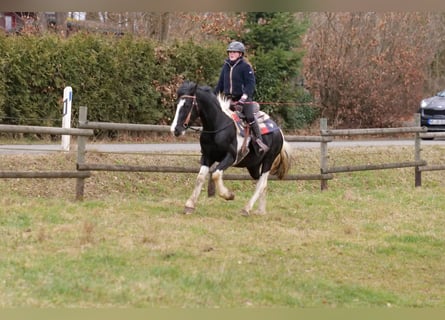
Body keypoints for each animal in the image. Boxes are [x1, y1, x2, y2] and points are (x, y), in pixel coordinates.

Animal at [168, 80, 290, 216]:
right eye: (177, 104)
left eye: (187, 105)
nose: (175, 130)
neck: (218, 126)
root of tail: (279, 131)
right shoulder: (207, 157)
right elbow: (200, 178)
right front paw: (189, 205)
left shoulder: (230, 157)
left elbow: (216, 175)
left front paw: (228, 195)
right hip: (253, 166)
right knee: (262, 183)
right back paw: (261, 210)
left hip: (268, 161)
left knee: (261, 184)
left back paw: (246, 209)